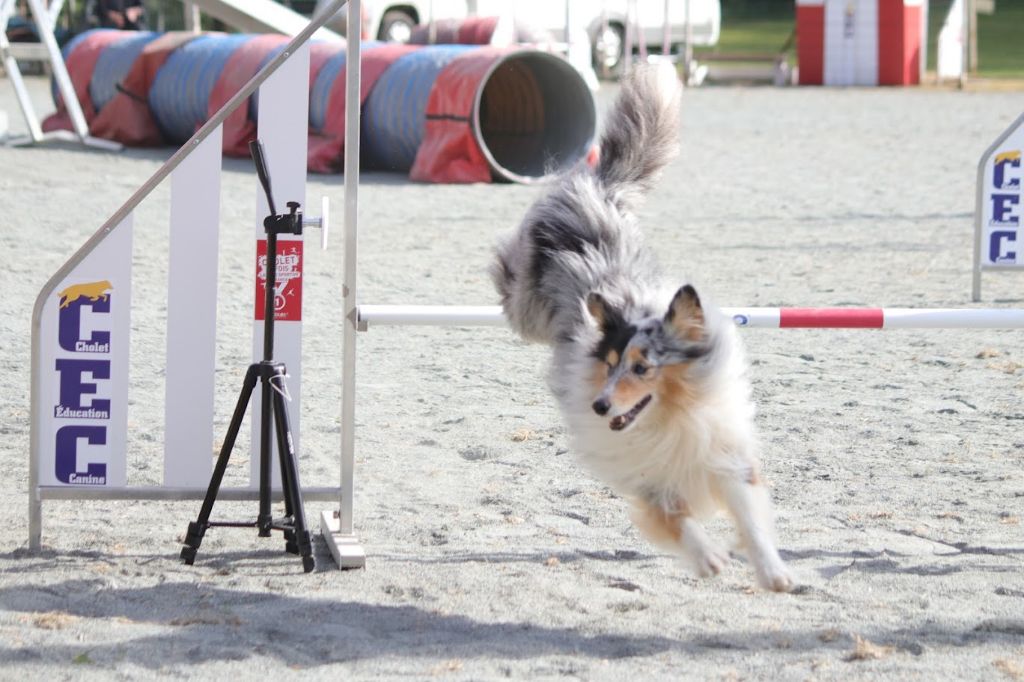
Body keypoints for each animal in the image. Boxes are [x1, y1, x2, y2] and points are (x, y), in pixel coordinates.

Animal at [491, 63, 794, 589]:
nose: (599, 405)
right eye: (610, 364)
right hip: (526, 301)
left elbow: (749, 514)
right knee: (506, 275)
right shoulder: (646, 474)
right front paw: (708, 558)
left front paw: (772, 571)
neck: (672, 417)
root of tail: (598, 186)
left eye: (642, 368)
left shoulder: (723, 452)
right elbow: (674, 518)